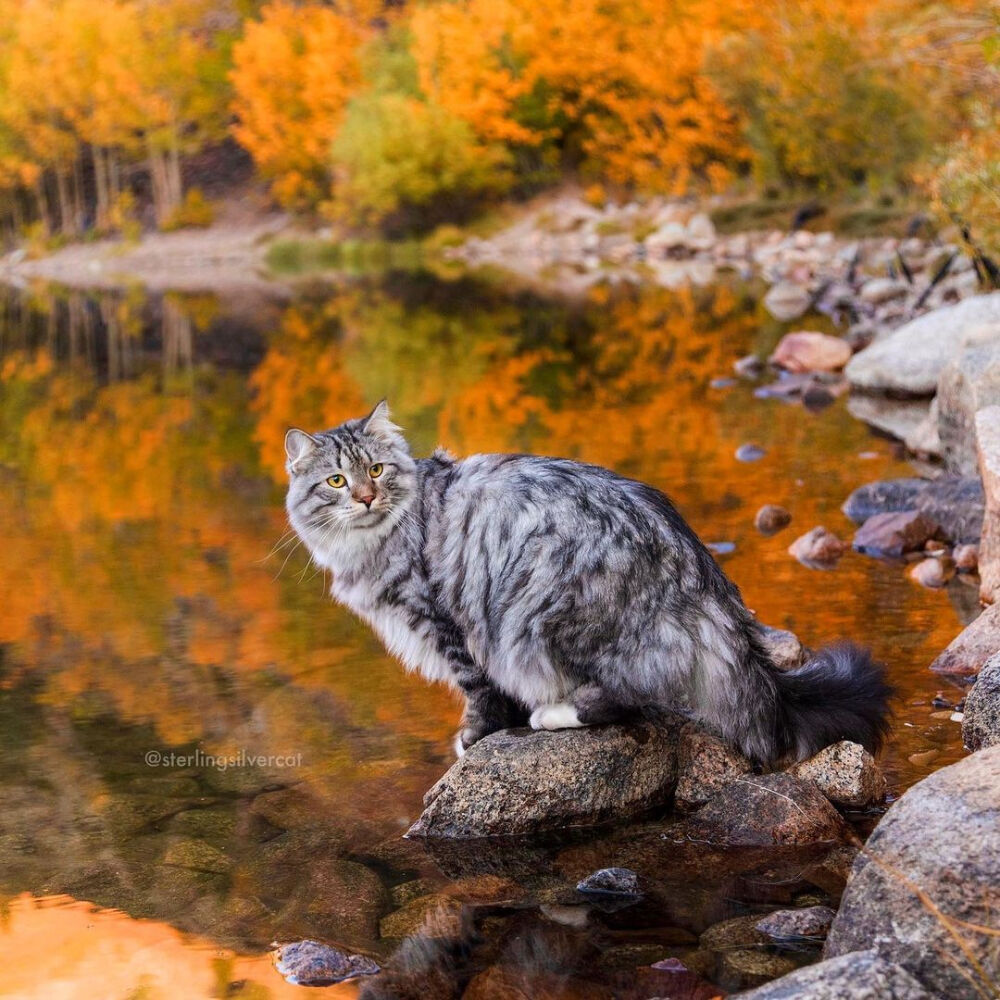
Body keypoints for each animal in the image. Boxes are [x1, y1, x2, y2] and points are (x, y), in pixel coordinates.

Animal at [284, 402, 892, 760]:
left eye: (376, 471)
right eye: (336, 481)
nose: (366, 497)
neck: (374, 540)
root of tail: (701, 579)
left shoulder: (445, 622)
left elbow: (478, 691)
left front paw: (476, 737)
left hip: (548, 614)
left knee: (625, 702)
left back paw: (552, 714)